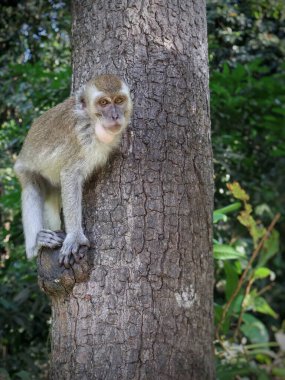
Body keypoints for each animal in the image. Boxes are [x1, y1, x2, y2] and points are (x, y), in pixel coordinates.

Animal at [14, 74, 132, 268]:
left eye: (119, 100)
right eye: (104, 102)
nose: (115, 115)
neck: (90, 121)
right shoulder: (81, 141)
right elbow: (70, 175)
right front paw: (75, 237)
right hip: (23, 169)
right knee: (32, 189)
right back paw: (36, 243)